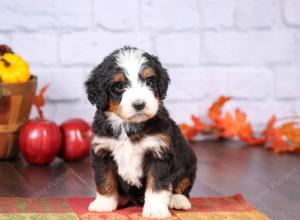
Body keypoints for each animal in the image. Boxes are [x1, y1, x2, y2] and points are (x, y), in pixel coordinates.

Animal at [85, 46, 197, 218]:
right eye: (119, 86)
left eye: (149, 82)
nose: (139, 104)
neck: (128, 126)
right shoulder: (103, 151)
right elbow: (105, 179)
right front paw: (104, 204)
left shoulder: (159, 152)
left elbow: (157, 185)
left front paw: (156, 210)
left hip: (188, 160)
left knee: (184, 183)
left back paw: (178, 200)